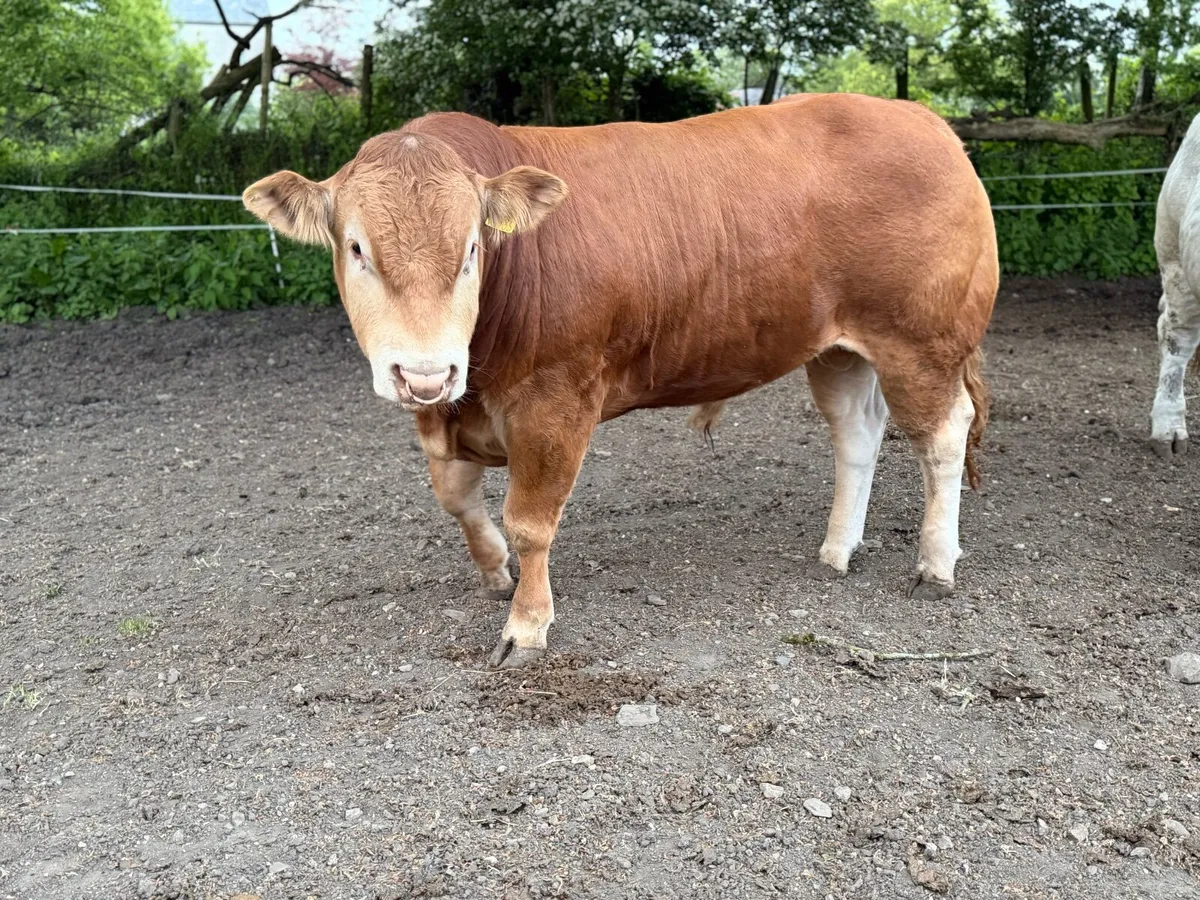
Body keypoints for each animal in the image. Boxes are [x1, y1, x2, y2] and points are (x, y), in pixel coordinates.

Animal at [243, 93, 998, 668]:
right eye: (357, 248)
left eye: (472, 249)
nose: (425, 371)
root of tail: (923, 120)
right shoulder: (447, 412)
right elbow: (458, 499)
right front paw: (492, 571)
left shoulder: (555, 400)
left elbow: (531, 522)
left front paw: (526, 625)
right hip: (839, 349)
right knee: (857, 435)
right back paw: (837, 550)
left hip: (919, 340)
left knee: (941, 436)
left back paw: (935, 564)